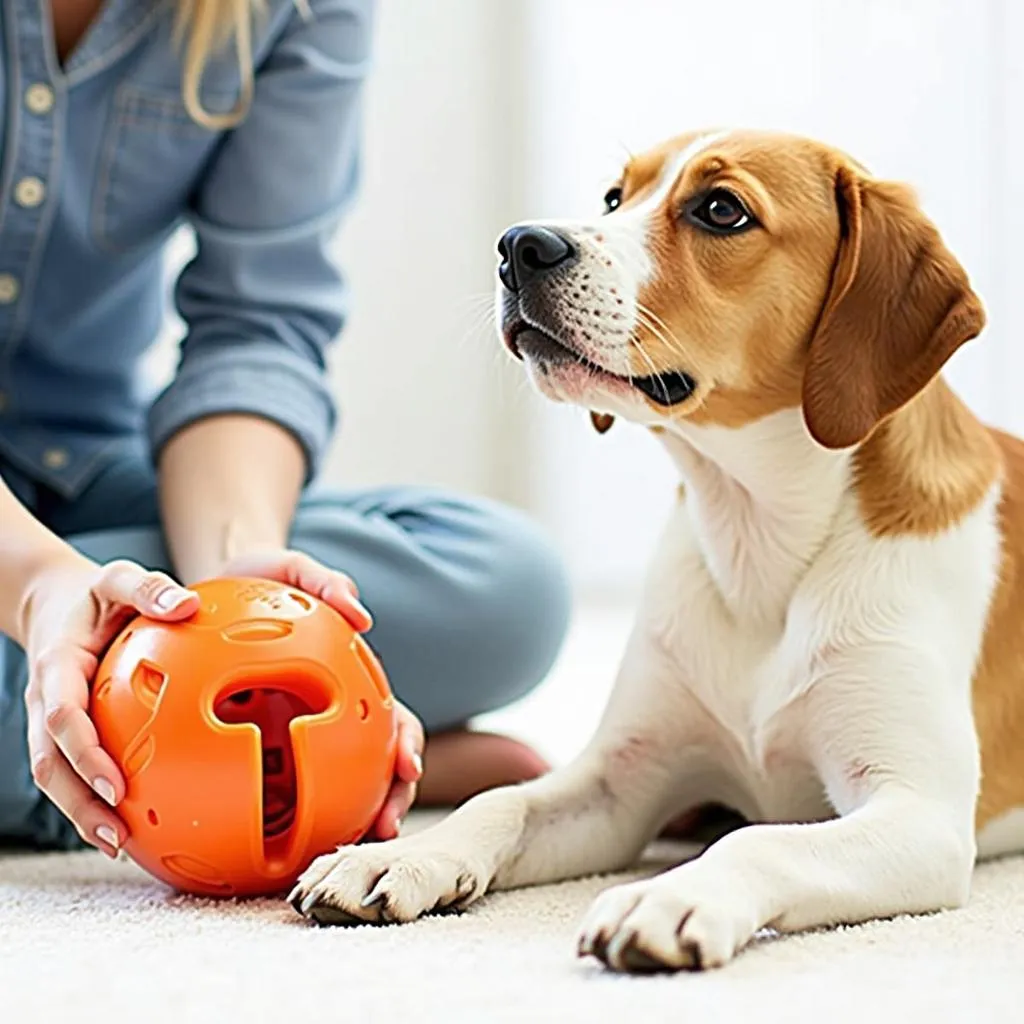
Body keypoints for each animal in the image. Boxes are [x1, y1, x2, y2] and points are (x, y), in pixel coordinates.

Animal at [288, 132, 1024, 970]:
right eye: (615, 197)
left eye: (721, 209)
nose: (518, 245)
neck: (757, 541)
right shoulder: (621, 783)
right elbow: (501, 803)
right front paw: (403, 852)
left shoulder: (919, 814)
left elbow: (760, 843)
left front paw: (673, 896)